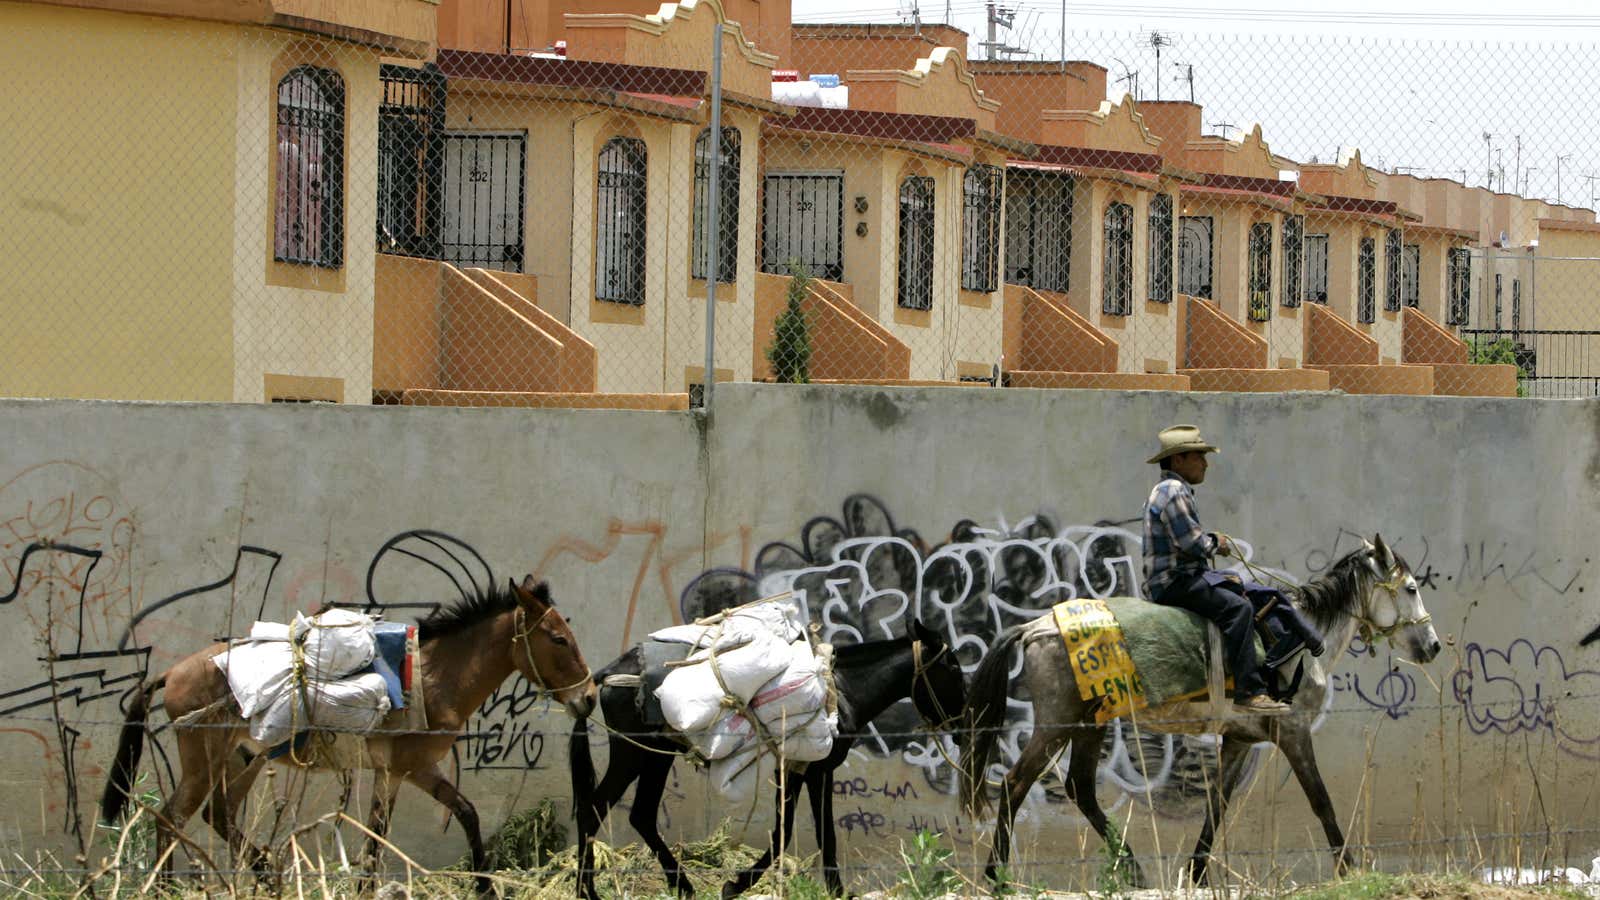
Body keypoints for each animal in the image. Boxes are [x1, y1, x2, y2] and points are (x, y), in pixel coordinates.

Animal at [953, 531, 1446, 883]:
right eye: (1411, 587)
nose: (1434, 645)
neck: (1303, 639)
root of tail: (1037, 626)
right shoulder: (1293, 733)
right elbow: (1320, 800)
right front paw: (1348, 868)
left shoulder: (1240, 739)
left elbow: (1217, 806)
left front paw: (1197, 872)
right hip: (1058, 723)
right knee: (1015, 784)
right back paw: (997, 876)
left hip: (1090, 724)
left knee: (1081, 789)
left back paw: (1132, 868)